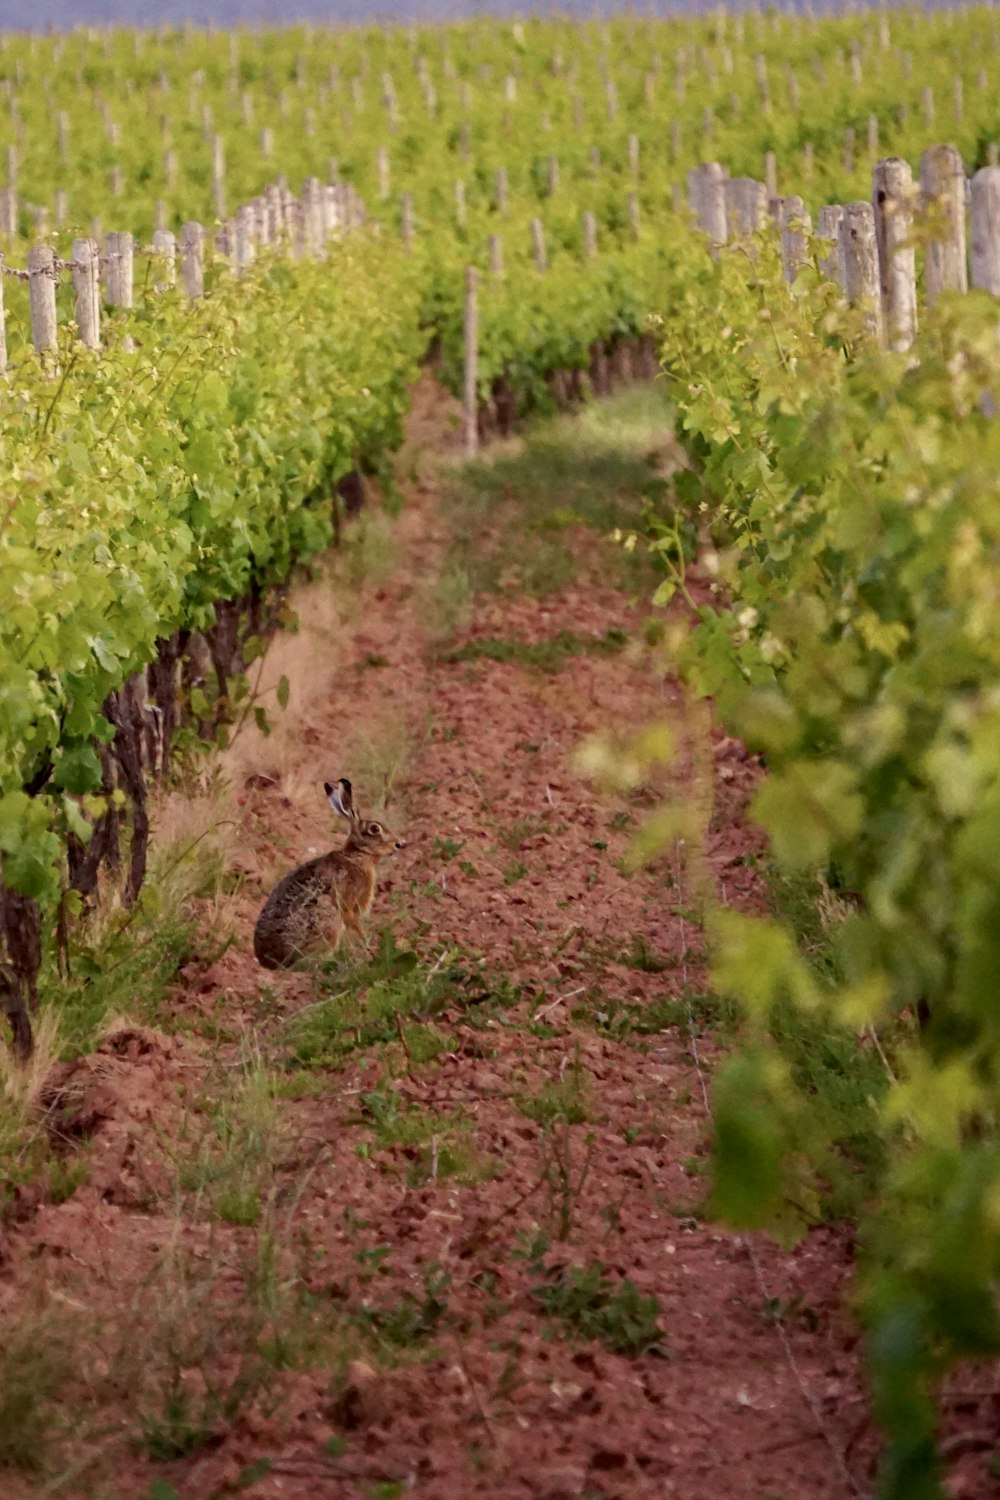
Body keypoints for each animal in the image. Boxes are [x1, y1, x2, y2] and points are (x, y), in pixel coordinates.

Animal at [254, 774, 401, 972]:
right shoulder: (348, 903)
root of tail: (270, 962)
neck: (358, 855)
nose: (398, 844)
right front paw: (366, 944)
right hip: (328, 920)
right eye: (374, 829)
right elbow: (354, 922)